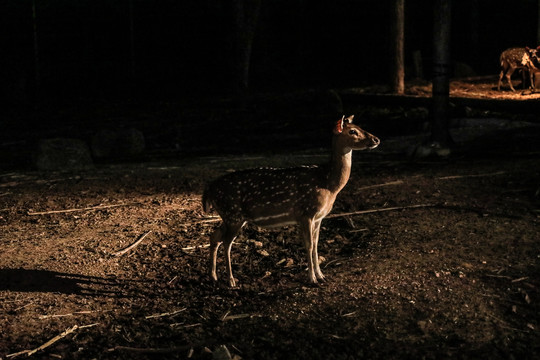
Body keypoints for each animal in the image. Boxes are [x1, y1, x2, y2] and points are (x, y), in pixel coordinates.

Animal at [201, 116, 380, 286]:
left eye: (359, 126)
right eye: (352, 131)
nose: (376, 139)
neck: (328, 184)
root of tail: (209, 189)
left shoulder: (319, 217)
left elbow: (316, 245)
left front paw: (321, 275)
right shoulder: (305, 213)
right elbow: (308, 245)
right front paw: (312, 279)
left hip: (229, 216)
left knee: (215, 236)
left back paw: (213, 276)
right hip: (233, 214)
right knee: (226, 242)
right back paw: (231, 280)